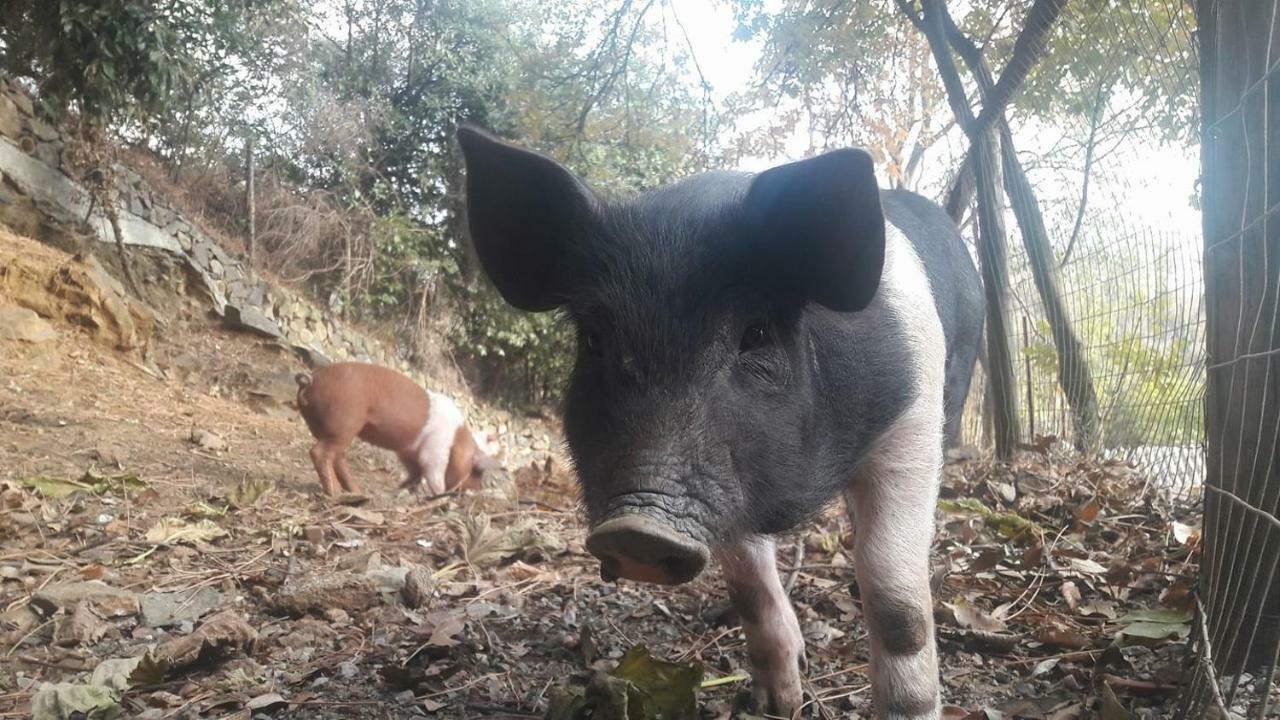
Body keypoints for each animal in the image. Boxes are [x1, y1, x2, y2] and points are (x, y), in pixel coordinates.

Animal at [455, 128, 983, 717]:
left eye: (756, 334)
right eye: (594, 341)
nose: (637, 529)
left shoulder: (911, 427)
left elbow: (895, 596)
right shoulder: (729, 484)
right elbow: (749, 584)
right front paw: (777, 705)